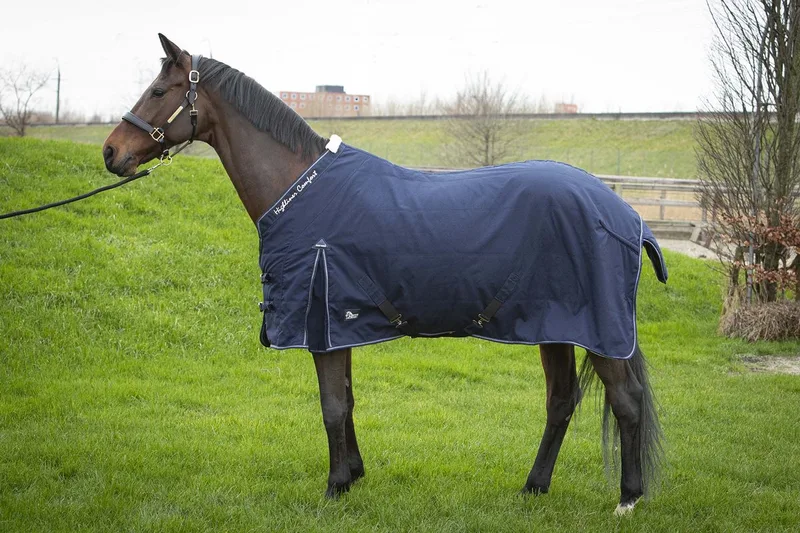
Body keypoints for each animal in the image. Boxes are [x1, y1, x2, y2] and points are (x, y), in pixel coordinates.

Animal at [102, 34, 665, 515]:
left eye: (158, 91)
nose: (111, 152)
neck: (300, 187)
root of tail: (624, 213)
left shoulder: (322, 320)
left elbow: (331, 404)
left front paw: (333, 488)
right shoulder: (337, 324)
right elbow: (348, 400)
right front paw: (353, 475)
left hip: (598, 331)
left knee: (626, 402)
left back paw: (627, 499)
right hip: (554, 327)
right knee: (561, 401)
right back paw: (534, 487)